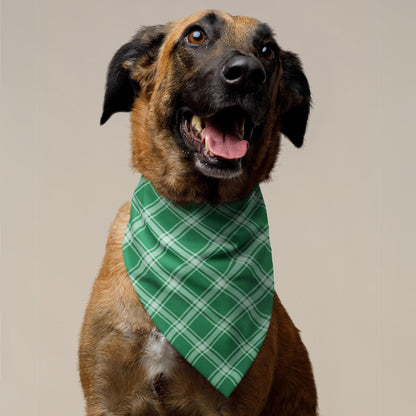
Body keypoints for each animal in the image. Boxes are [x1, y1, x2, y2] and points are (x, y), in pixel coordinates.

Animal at [79, 9, 318, 416]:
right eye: (196, 35)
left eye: (268, 51)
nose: (248, 73)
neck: (195, 218)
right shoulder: (106, 397)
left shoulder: (228, 406)